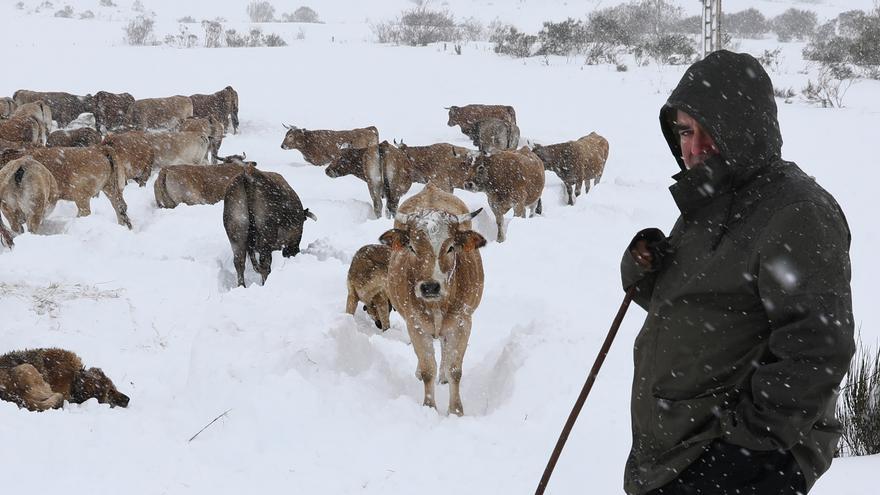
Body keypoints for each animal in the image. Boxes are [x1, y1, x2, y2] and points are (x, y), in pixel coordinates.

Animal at [380, 184, 488, 416]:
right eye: (412, 247)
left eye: (450, 247)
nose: (430, 286)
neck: (438, 304)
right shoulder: (416, 324)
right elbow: (427, 368)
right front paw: (429, 407)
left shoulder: (463, 322)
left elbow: (455, 369)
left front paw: (456, 411)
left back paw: (444, 376)